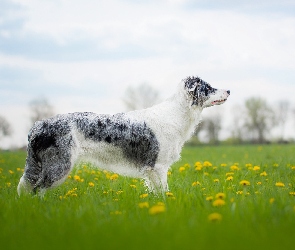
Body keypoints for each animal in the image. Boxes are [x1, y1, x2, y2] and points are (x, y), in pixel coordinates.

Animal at [17, 76, 231, 195]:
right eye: (208, 88)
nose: (229, 90)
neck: (176, 113)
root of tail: (37, 126)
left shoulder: (152, 170)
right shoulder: (159, 166)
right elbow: (164, 191)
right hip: (59, 164)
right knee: (38, 189)